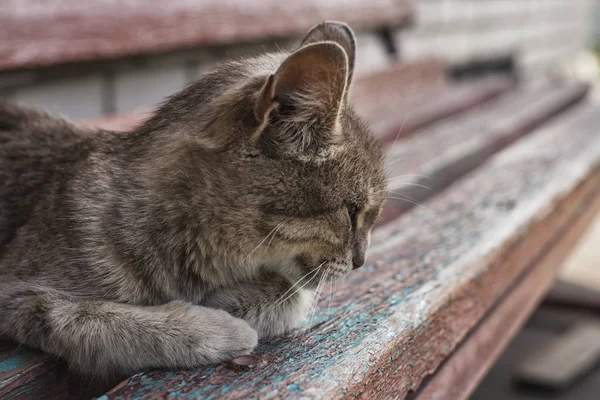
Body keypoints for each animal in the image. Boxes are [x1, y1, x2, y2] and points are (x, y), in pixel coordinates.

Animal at [0, 22, 384, 382]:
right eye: (351, 212)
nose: (361, 261)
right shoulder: (17, 291)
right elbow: (88, 317)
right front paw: (214, 328)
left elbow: (292, 293)